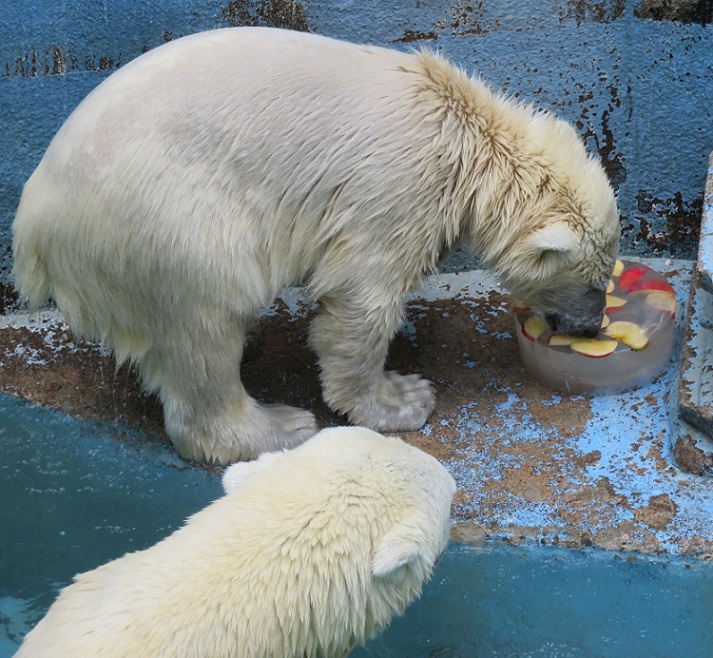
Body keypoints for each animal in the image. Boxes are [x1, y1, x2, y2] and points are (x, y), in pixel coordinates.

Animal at [13, 26, 620, 462]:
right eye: (593, 281)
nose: (593, 327)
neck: (471, 135)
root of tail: (33, 227)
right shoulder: (402, 185)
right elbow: (359, 299)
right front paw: (402, 399)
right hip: (164, 223)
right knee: (204, 322)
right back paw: (277, 426)